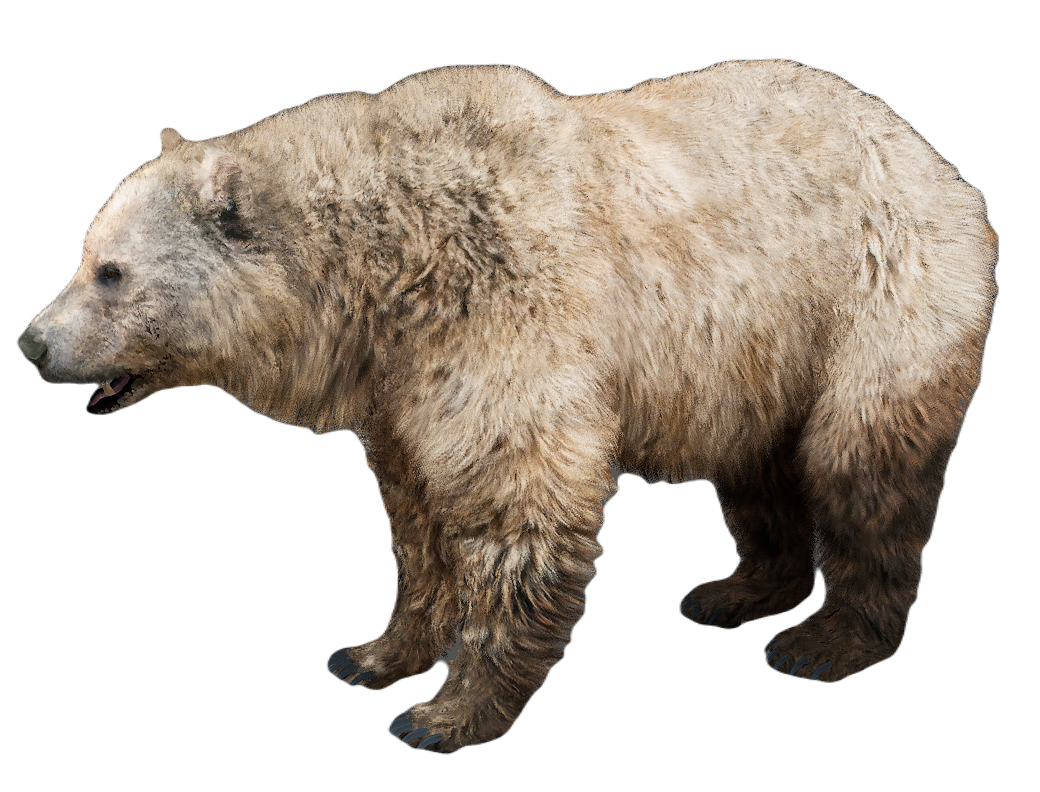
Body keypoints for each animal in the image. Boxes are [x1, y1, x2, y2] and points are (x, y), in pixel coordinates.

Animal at [16, 61, 997, 752]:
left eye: (110, 272)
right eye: (84, 251)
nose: (32, 344)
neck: (380, 282)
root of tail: (929, 153)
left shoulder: (502, 314)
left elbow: (515, 506)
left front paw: (444, 714)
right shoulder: (399, 388)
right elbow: (414, 522)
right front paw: (372, 655)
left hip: (873, 292)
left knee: (866, 465)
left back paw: (826, 640)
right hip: (754, 356)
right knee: (756, 469)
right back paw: (737, 590)